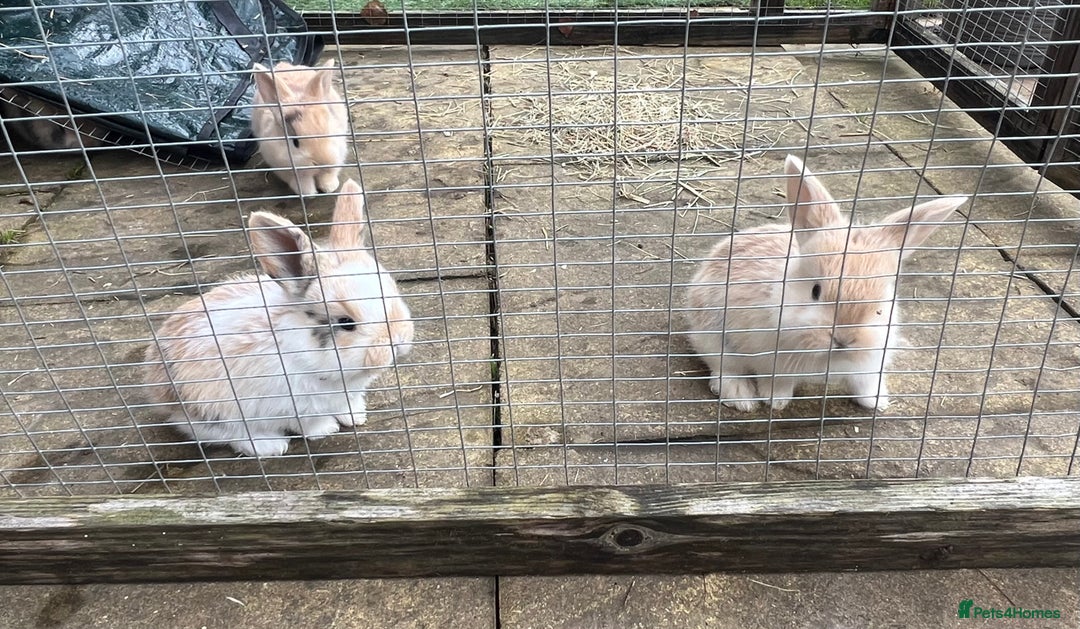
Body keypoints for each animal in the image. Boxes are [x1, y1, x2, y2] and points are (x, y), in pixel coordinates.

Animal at [143, 179, 414, 457]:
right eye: (346, 323)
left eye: (392, 291)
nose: (399, 341)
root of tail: (155, 386)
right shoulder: (293, 407)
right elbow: (309, 424)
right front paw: (327, 430)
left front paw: (356, 417)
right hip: (213, 411)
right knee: (224, 434)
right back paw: (272, 445)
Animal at [251, 59, 349, 196]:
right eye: (295, 142)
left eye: (329, 132)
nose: (324, 163)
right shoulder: (281, 165)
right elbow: (301, 181)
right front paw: (308, 192)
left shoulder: (339, 152)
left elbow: (330, 174)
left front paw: (329, 187)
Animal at [685, 155, 968, 412]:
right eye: (815, 291)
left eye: (879, 307)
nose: (843, 339)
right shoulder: (771, 363)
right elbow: (775, 382)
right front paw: (776, 402)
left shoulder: (869, 365)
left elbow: (865, 384)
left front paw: (876, 403)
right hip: (712, 336)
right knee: (725, 368)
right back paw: (742, 398)